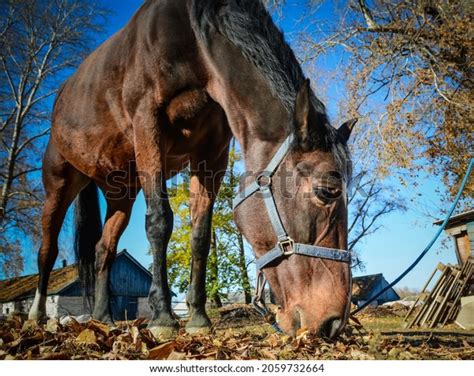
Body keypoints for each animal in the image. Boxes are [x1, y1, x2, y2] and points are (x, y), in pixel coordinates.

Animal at [28, 0, 356, 338]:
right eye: (326, 191)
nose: (333, 322)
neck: (193, 39)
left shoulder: (211, 154)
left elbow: (200, 235)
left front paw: (198, 317)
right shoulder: (148, 126)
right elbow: (159, 221)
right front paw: (162, 316)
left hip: (121, 192)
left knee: (103, 249)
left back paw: (103, 317)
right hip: (59, 182)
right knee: (47, 249)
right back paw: (36, 315)